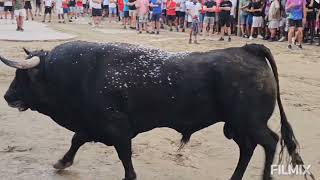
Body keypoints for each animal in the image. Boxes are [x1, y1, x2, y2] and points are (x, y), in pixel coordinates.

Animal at [0, 41, 316, 179]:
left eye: (22, 76)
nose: (7, 96)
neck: (77, 73)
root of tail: (247, 48)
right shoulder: (93, 125)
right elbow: (76, 140)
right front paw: (61, 163)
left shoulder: (117, 128)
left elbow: (125, 158)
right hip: (234, 126)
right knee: (248, 148)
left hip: (249, 122)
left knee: (269, 142)